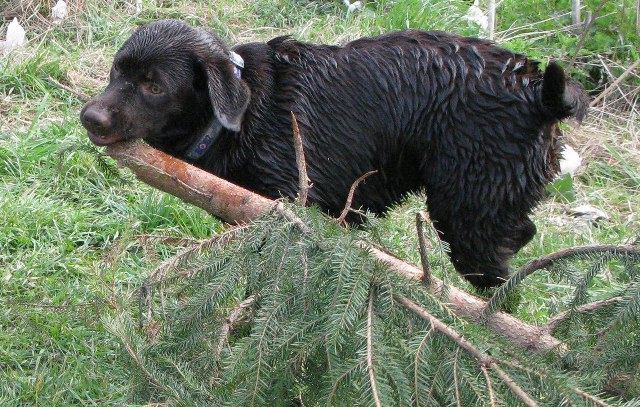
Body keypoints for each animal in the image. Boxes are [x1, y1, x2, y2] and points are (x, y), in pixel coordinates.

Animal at [81, 19, 592, 286]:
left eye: (153, 87)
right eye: (116, 72)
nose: (89, 117)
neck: (243, 115)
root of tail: (535, 90)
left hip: (467, 212)